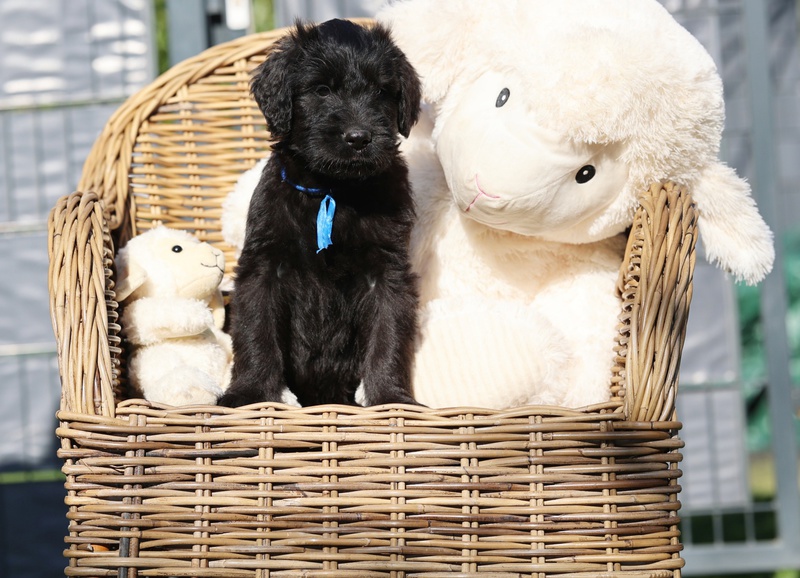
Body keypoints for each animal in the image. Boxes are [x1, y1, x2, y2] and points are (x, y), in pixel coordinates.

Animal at [217, 19, 422, 408]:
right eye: (322, 90)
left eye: (381, 92)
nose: (359, 138)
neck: (334, 191)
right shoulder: (263, 266)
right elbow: (255, 333)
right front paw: (247, 395)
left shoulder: (387, 272)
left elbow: (388, 338)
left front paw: (391, 398)